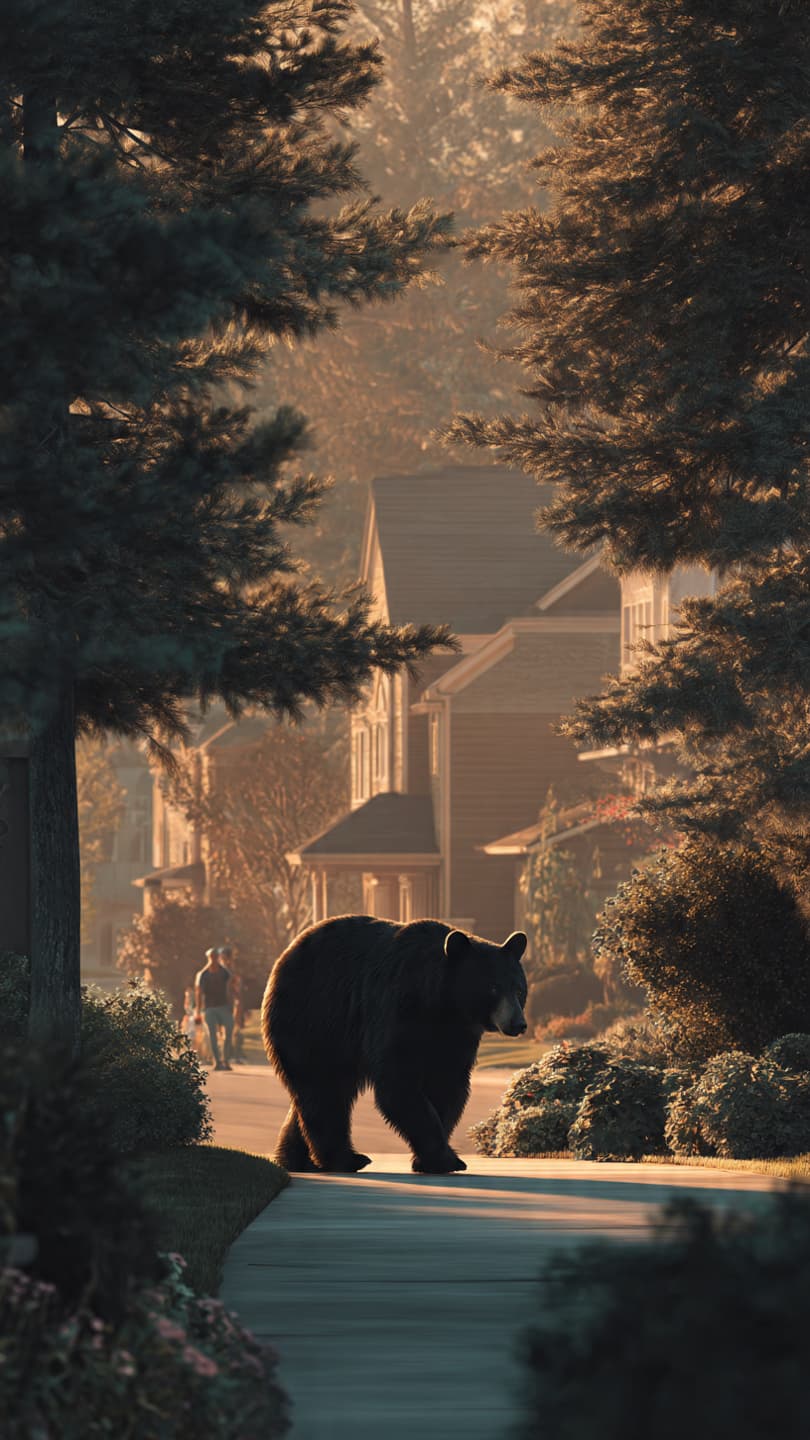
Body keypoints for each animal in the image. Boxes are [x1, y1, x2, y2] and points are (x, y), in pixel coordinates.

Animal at [261, 915, 528, 1175]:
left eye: (518, 989)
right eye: (493, 987)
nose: (519, 1023)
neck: (443, 1005)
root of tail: (284, 957)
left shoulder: (456, 1036)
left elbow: (447, 1084)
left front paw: (429, 1159)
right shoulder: (398, 1012)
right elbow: (398, 1083)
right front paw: (445, 1159)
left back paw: (296, 1159)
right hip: (314, 1020)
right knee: (323, 1089)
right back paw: (345, 1159)